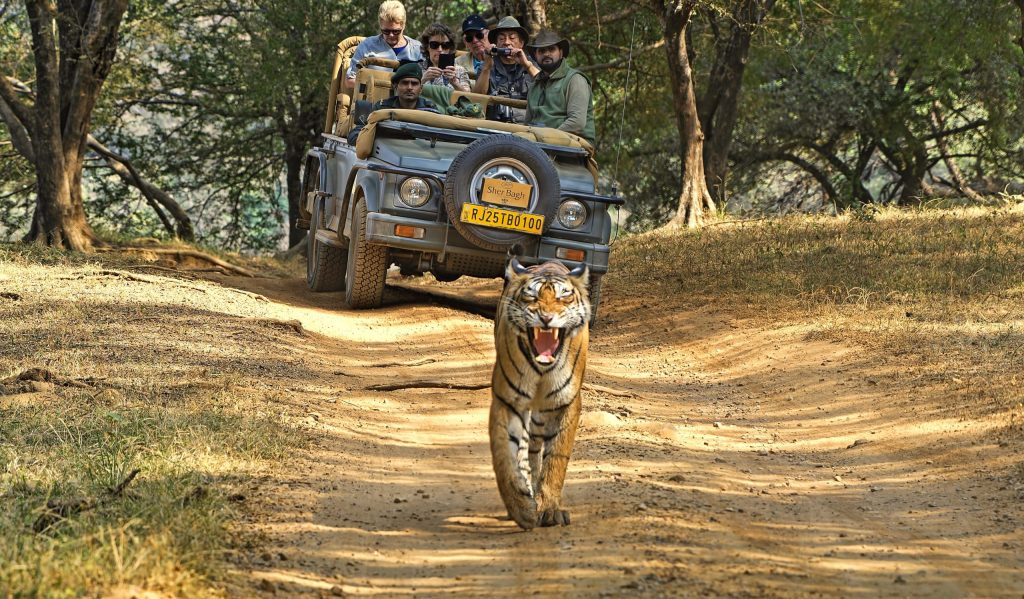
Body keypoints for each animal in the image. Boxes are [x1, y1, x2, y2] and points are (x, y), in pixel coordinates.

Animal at [489, 256, 590, 530]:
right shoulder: (507, 400)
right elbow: (504, 456)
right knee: (528, 451)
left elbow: (556, 459)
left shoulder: (567, 403)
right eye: (531, 296)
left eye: (563, 296)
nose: (546, 318)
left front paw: (549, 509)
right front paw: (521, 509)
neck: (542, 369)